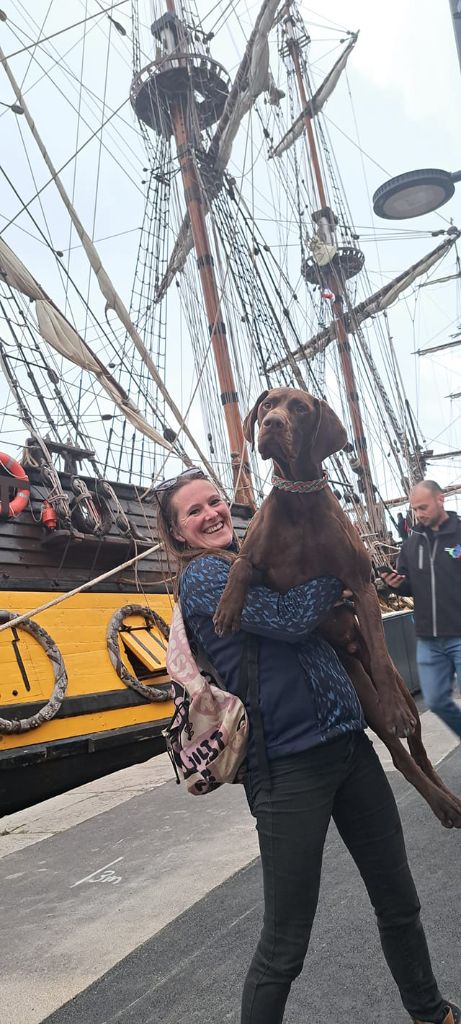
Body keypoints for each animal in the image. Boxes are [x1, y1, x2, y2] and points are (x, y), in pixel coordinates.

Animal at [214, 387, 461, 827]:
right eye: (267, 405)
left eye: (299, 408)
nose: (270, 424)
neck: (298, 502)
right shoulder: (259, 566)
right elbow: (239, 566)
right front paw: (227, 609)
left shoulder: (360, 584)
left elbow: (378, 647)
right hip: (362, 694)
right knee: (401, 759)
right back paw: (442, 805)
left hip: (394, 690)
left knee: (415, 747)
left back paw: (448, 802)